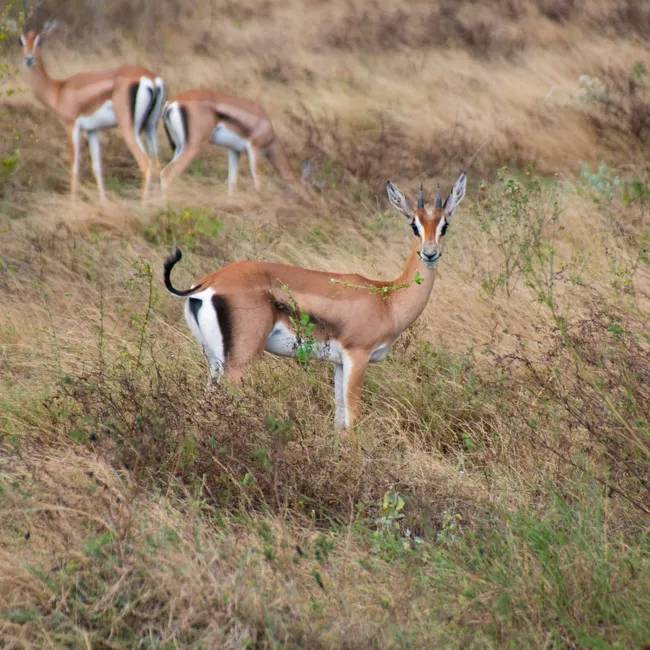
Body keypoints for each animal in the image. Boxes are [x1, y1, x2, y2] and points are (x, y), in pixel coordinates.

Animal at [19, 17, 165, 202]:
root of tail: (150, 78)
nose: (28, 59)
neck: (59, 90)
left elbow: (74, 168)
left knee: (145, 163)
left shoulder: (72, 127)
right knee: (159, 164)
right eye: (21, 41)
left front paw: (71, 205)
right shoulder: (93, 131)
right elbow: (97, 168)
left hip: (130, 129)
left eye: (40, 41)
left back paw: (143, 205)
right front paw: (103, 204)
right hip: (150, 127)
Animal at [160, 89, 301, 197]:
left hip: (179, 146)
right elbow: (259, 183)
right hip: (193, 147)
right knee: (168, 173)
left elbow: (232, 182)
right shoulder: (254, 149)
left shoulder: (234, 151)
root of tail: (173, 103)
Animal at [163, 172, 467, 427]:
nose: (430, 253)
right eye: (415, 225)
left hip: (214, 361)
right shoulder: (357, 357)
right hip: (238, 363)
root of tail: (207, 284)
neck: (387, 300)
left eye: (445, 225)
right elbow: (353, 418)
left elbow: (339, 419)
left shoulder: (339, 363)